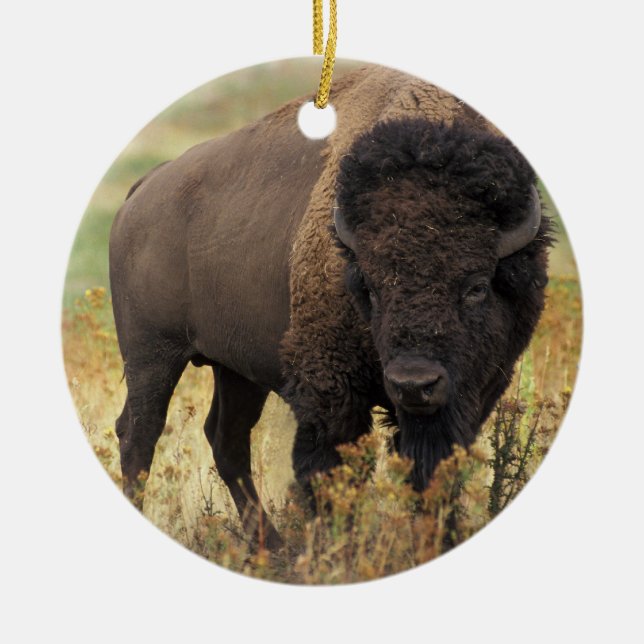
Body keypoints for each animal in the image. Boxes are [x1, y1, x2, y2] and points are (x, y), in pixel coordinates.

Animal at [109, 65, 551, 547]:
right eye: (370, 288)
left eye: (476, 287)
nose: (414, 384)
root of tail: (143, 189)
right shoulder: (331, 391)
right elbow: (330, 473)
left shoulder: (475, 392)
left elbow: (434, 472)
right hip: (152, 356)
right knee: (140, 434)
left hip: (235, 368)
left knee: (226, 439)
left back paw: (271, 547)